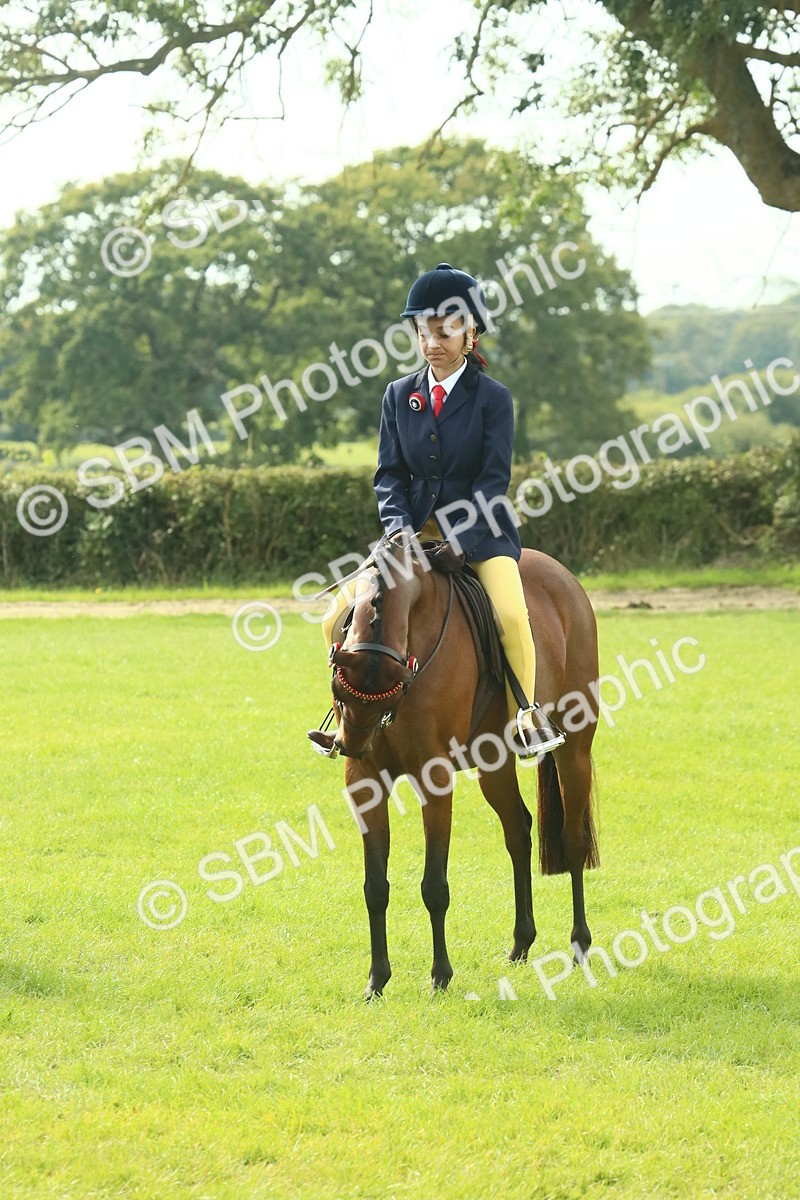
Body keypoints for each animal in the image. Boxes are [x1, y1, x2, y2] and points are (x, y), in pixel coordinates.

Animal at [325, 535, 600, 998]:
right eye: (340, 694)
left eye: (394, 692)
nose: (354, 746)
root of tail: (566, 579)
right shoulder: (365, 781)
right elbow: (374, 886)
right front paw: (376, 980)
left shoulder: (433, 777)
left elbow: (434, 885)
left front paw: (440, 975)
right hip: (494, 766)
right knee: (518, 832)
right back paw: (521, 944)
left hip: (575, 750)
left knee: (573, 839)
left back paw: (580, 944)